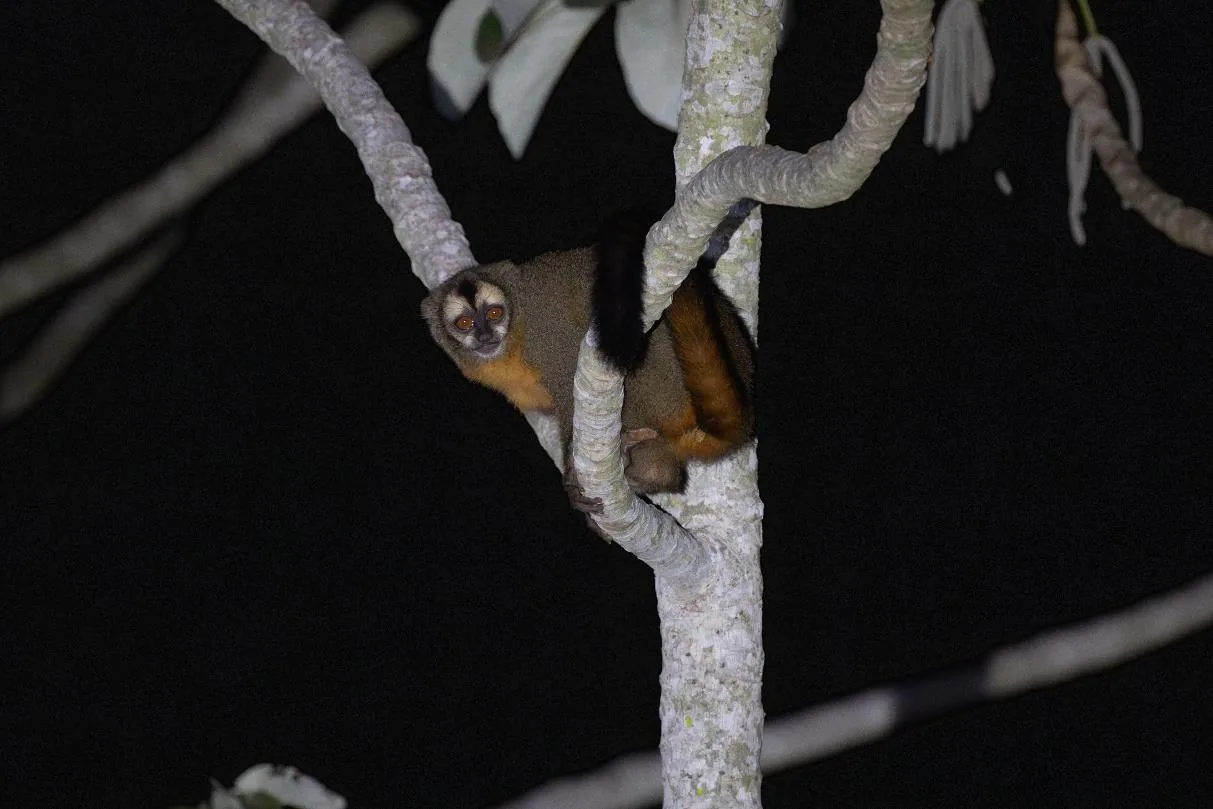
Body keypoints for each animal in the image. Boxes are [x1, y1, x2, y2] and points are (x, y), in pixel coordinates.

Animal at [420, 209, 755, 513]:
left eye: (493, 313)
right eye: (464, 323)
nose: (484, 334)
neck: (515, 334)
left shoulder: (547, 336)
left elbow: (571, 386)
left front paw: (571, 476)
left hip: (666, 389)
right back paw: (655, 476)